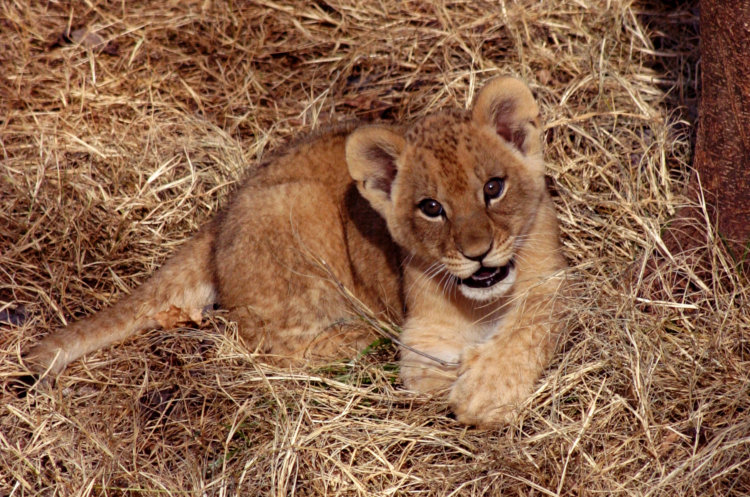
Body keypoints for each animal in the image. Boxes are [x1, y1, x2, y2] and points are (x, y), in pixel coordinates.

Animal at [23, 77, 567, 426]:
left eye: (493, 187)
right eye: (431, 208)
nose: (478, 253)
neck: (484, 302)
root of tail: (221, 216)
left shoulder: (558, 282)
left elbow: (534, 323)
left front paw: (485, 390)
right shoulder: (424, 338)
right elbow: (429, 376)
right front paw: (471, 386)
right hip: (300, 209)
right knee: (270, 343)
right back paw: (363, 340)